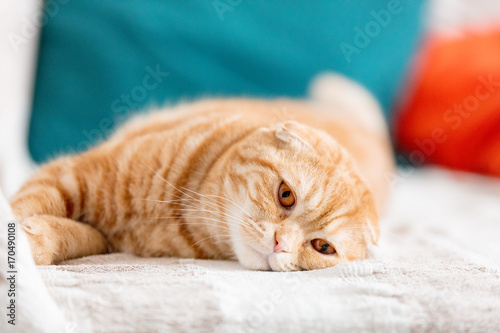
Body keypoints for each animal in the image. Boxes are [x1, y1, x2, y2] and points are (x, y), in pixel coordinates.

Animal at [11, 74, 392, 270]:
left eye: (322, 247)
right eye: (286, 195)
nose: (280, 244)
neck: (174, 215)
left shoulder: (104, 240)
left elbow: (68, 237)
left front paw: (30, 243)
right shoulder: (74, 176)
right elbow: (24, 205)